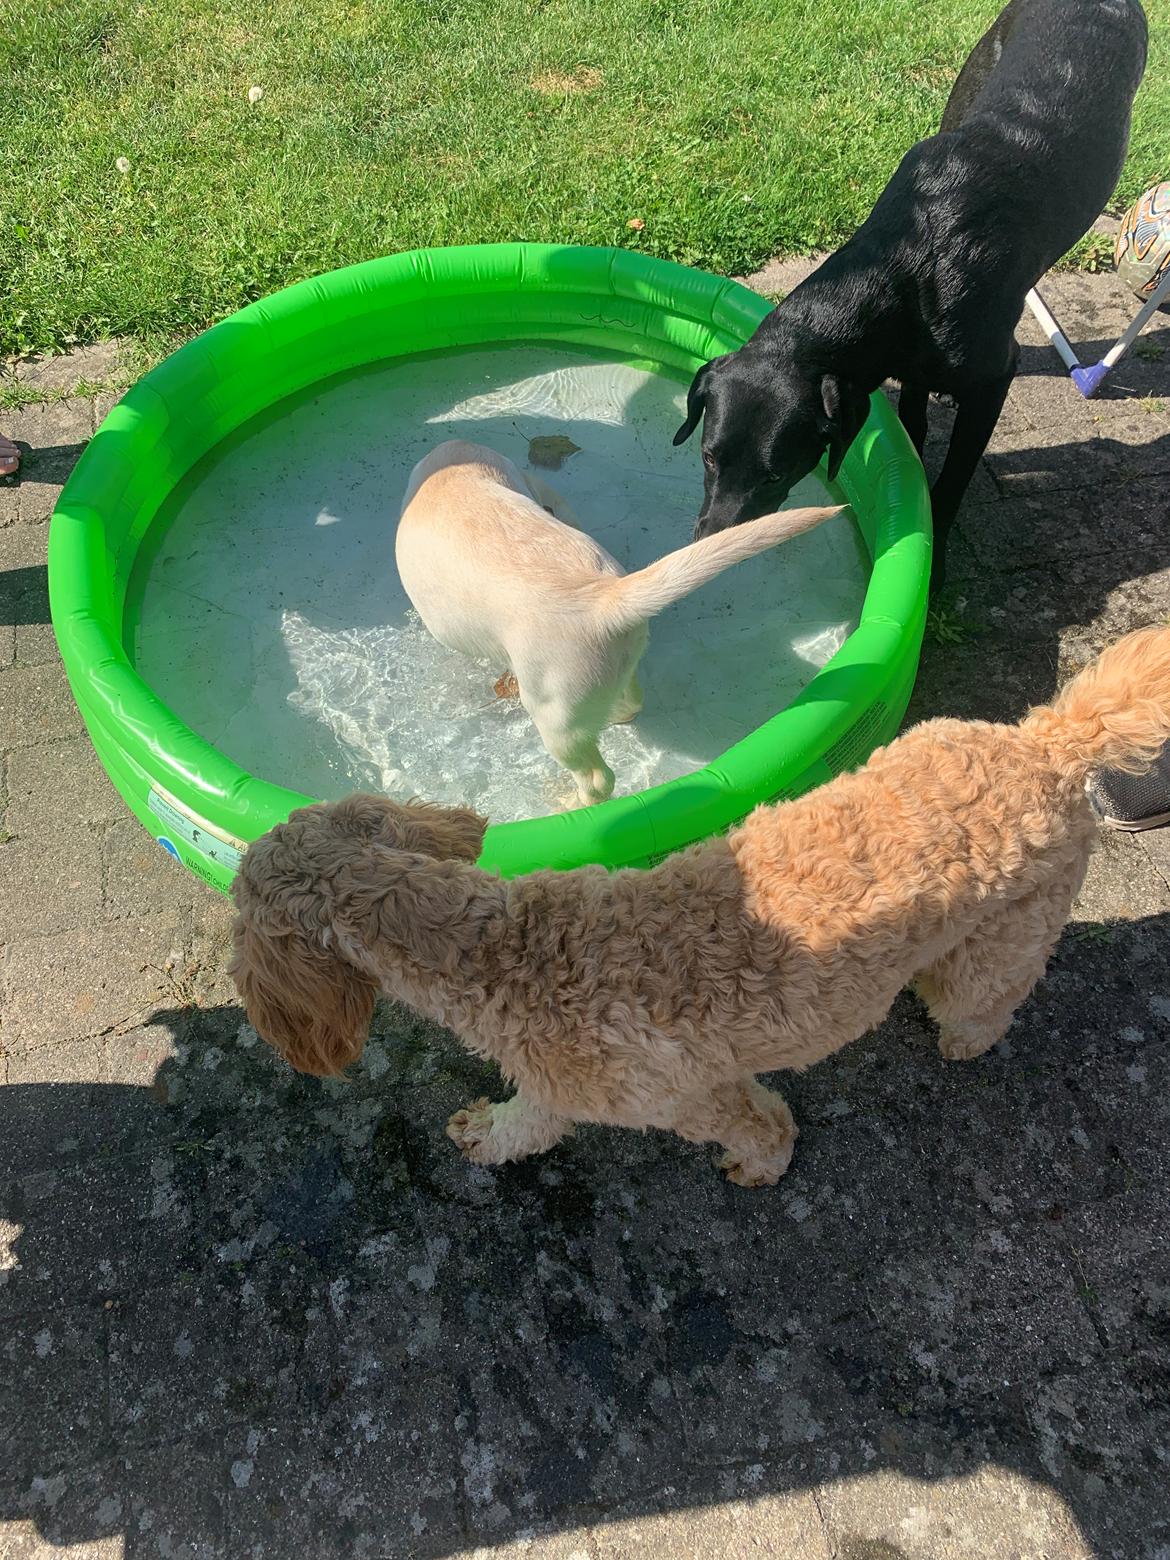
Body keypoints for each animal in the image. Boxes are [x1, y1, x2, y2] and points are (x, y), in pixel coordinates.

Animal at [229, 620, 1170, 1179]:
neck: (504, 950)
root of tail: (1049, 742)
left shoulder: (688, 1097)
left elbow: (758, 1127)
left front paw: (759, 1167)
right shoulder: (560, 1085)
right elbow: (525, 1125)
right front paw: (483, 1136)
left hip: (1004, 939)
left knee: (987, 997)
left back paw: (963, 1038)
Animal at [402, 439, 842, 804]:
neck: (455, 478)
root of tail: (606, 599)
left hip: (552, 713)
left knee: (598, 778)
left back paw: (573, 803)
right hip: (616, 665)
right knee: (631, 701)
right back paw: (614, 715)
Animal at [677, 0, 1154, 586]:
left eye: (775, 475)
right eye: (709, 457)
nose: (707, 551)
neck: (906, 262)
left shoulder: (994, 378)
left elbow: (952, 479)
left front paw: (936, 559)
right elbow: (914, 420)